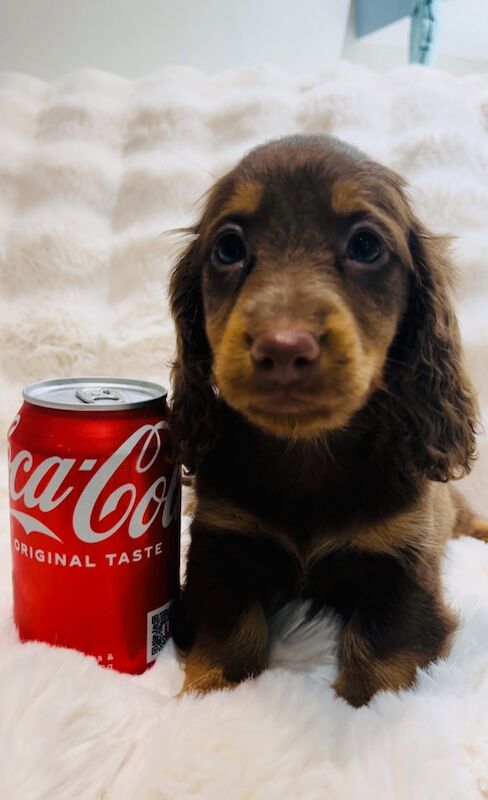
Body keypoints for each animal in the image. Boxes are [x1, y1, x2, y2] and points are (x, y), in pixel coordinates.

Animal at [169, 133, 484, 708]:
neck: (306, 452)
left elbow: (379, 653)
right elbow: (231, 633)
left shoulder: (407, 562)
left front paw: (361, 705)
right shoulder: (218, 546)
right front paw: (208, 695)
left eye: (366, 246)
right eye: (228, 249)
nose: (283, 348)